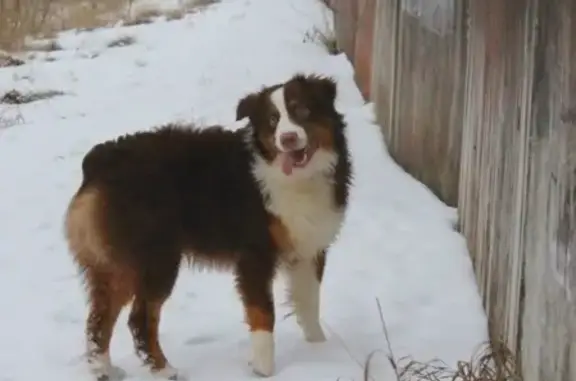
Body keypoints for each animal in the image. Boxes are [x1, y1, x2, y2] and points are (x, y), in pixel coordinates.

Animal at [63, 72, 352, 378]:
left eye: (302, 110)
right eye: (273, 120)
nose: (287, 138)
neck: (296, 178)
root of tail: (99, 159)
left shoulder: (310, 248)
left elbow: (309, 303)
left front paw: (320, 351)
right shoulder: (255, 255)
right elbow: (263, 314)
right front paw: (264, 369)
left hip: (115, 266)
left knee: (99, 318)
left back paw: (104, 369)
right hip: (156, 259)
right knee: (139, 318)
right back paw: (163, 370)